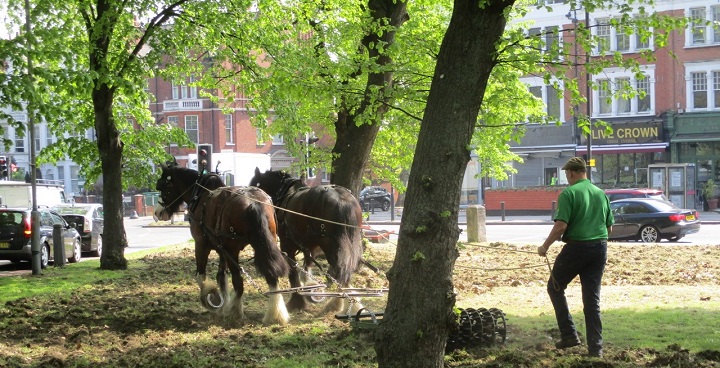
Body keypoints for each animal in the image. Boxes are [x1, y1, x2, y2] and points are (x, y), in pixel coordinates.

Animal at [154, 164, 290, 324]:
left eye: (162, 186)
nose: (157, 213)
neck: (200, 195)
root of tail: (253, 203)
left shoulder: (201, 245)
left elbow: (201, 276)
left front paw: (212, 298)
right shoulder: (221, 249)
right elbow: (221, 277)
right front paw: (223, 306)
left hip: (233, 250)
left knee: (238, 282)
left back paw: (236, 312)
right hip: (264, 244)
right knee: (271, 275)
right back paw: (274, 313)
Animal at [252, 168, 366, 314]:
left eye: (254, 185)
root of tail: (342, 200)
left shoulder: (287, 245)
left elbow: (293, 272)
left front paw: (296, 301)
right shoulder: (311, 247)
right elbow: (307, 265)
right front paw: (308, 288)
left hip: (331, 245)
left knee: (340, 269)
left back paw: (336, 303)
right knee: (345, 270)